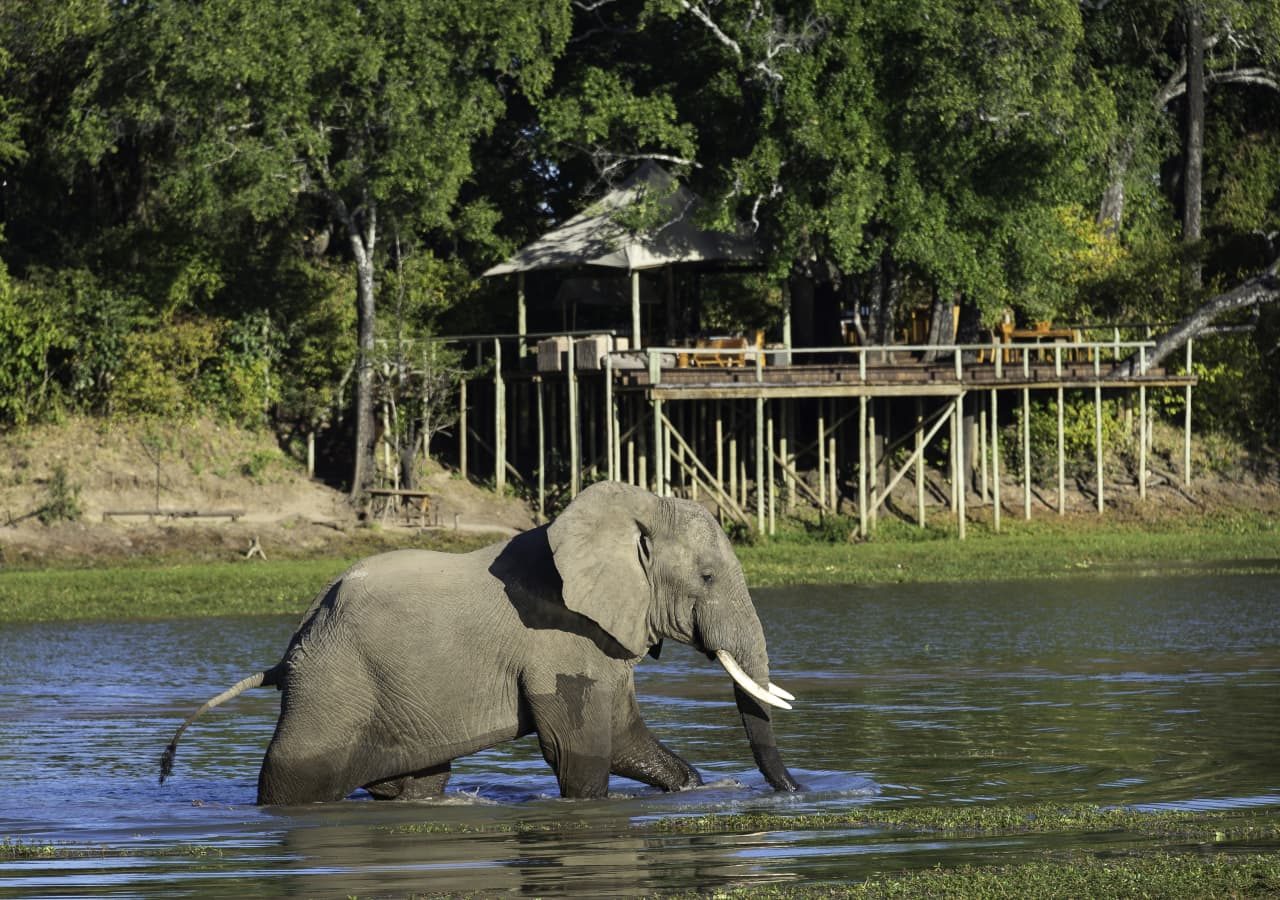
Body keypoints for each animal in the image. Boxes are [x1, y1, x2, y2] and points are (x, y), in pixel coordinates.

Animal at [160, 481, 798, 803]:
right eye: (708, 577)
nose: (794, 794)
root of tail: (291, 645)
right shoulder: (558, 640)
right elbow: (580, 751)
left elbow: (623, 739)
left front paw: (694, 788)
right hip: (330, 687)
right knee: (293, 779)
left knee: (416, 784)